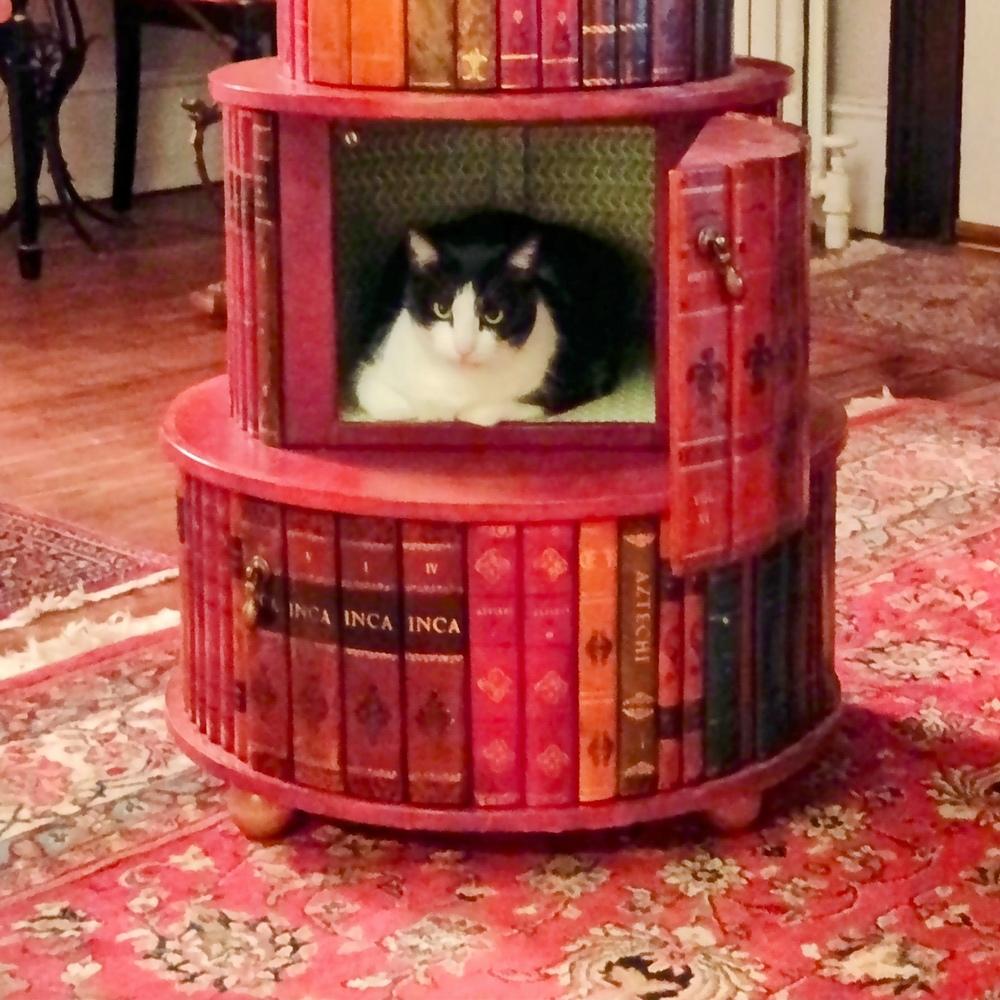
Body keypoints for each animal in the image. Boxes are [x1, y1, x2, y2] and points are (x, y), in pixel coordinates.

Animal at [356, 211, 644, 426]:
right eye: (442, 309)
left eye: (494, 315)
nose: (464, 348)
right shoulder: (371, 371)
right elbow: (399, 404)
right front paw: (435, 409)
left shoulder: (587, 376)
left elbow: (489, 412)